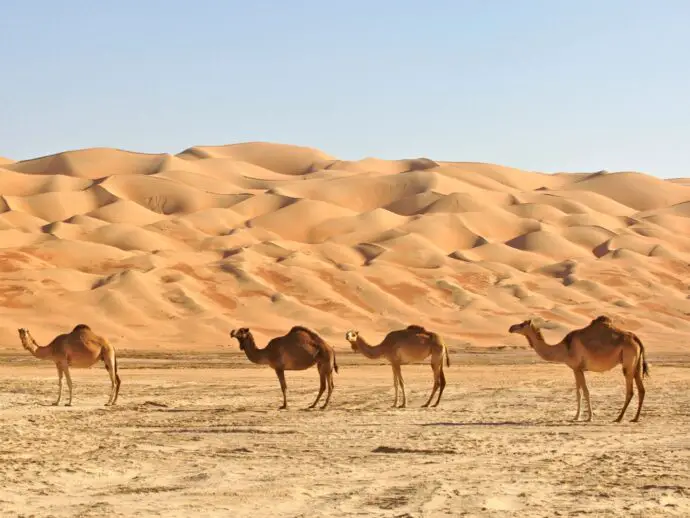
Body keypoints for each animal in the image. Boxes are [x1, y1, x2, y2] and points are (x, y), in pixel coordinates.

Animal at [508, 316, 648, 422]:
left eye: (522, 324)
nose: (511, 328)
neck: (564, 349)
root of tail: (635, 338)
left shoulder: (578, 368)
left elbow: (585, 391)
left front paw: (589, 417)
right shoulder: (575, 369)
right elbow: (578, 392)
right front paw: (576, 416)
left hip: (628, 362)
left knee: (630, 390)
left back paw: (619, 418)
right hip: (636, 364)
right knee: (641, 389)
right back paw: (635, 418)